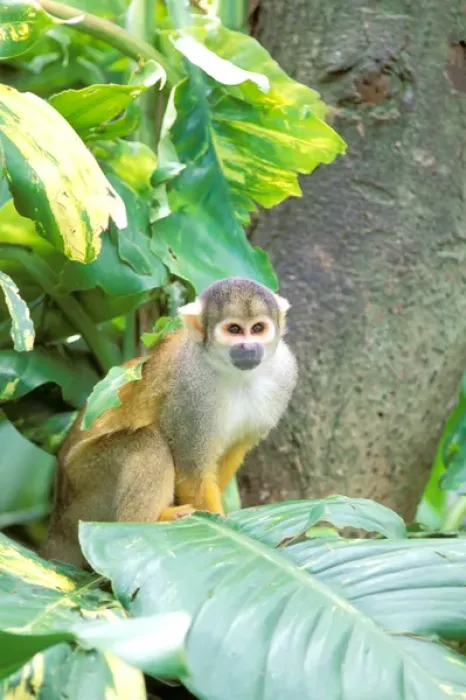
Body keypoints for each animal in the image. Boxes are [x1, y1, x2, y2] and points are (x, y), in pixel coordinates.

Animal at [41, 277, 297, 568]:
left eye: (257, 328)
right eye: (234, 329)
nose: (249, 347)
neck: (234, 373)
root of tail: (57, 522)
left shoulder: (285, 372)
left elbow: (230, 454)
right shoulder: (189, 389)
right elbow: (192, 472)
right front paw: (222, 525)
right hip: (85, 484)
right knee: (147, 443)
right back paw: (146, 524)